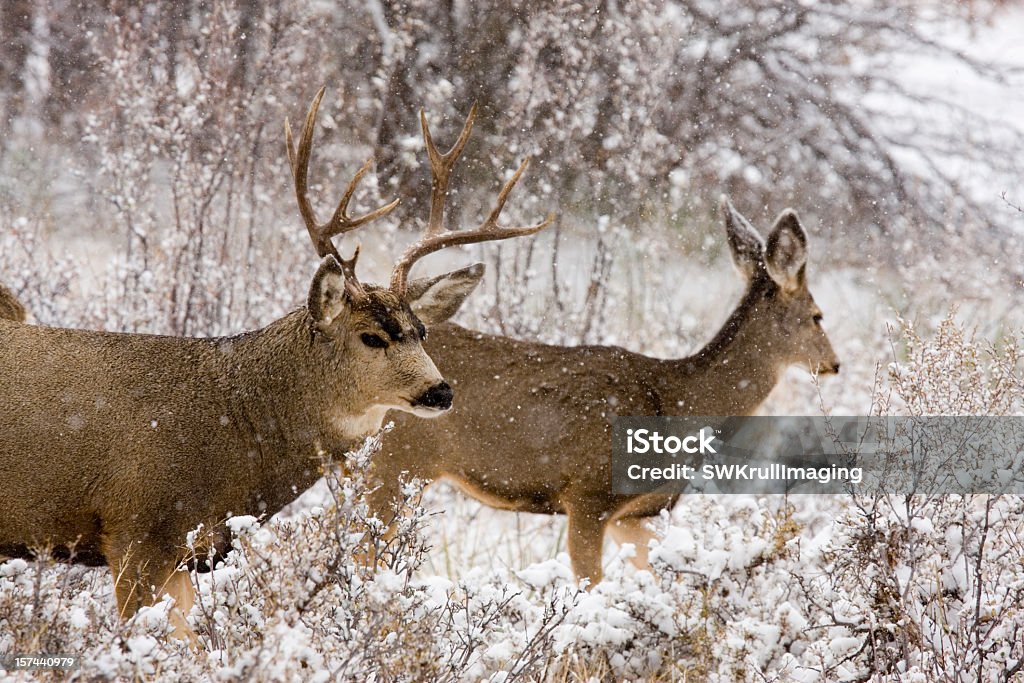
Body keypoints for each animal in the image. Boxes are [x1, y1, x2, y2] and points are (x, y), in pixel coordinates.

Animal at [0, 88, 552, 643]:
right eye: (371, 337)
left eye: (422, 331)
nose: (441, 391)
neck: (233, 430)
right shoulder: (137, 531)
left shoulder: (188, 554)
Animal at [368, 197, 839, 589]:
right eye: (817, 315)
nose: (835, 363)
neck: (676, 404)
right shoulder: (589, 495)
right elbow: (590, 591)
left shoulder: (637, 513)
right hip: (392, 462)